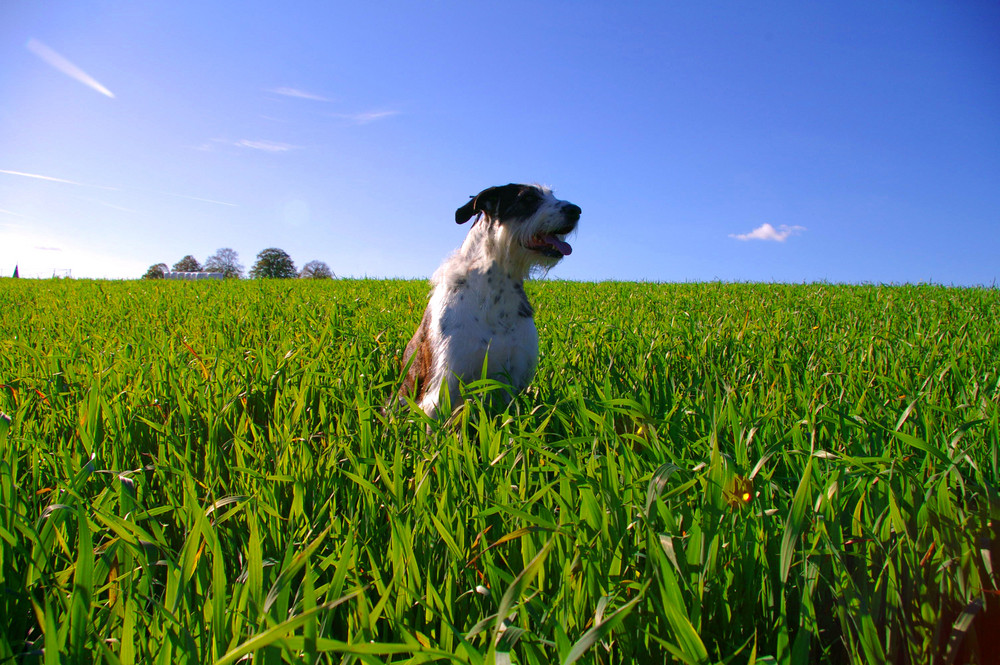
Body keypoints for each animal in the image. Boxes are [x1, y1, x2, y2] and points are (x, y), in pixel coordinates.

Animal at [398, 184, 584, 418]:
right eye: (528, 198)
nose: (575, 210)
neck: (495, 289)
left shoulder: (511, 380)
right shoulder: (444, 383)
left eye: (552, 195)